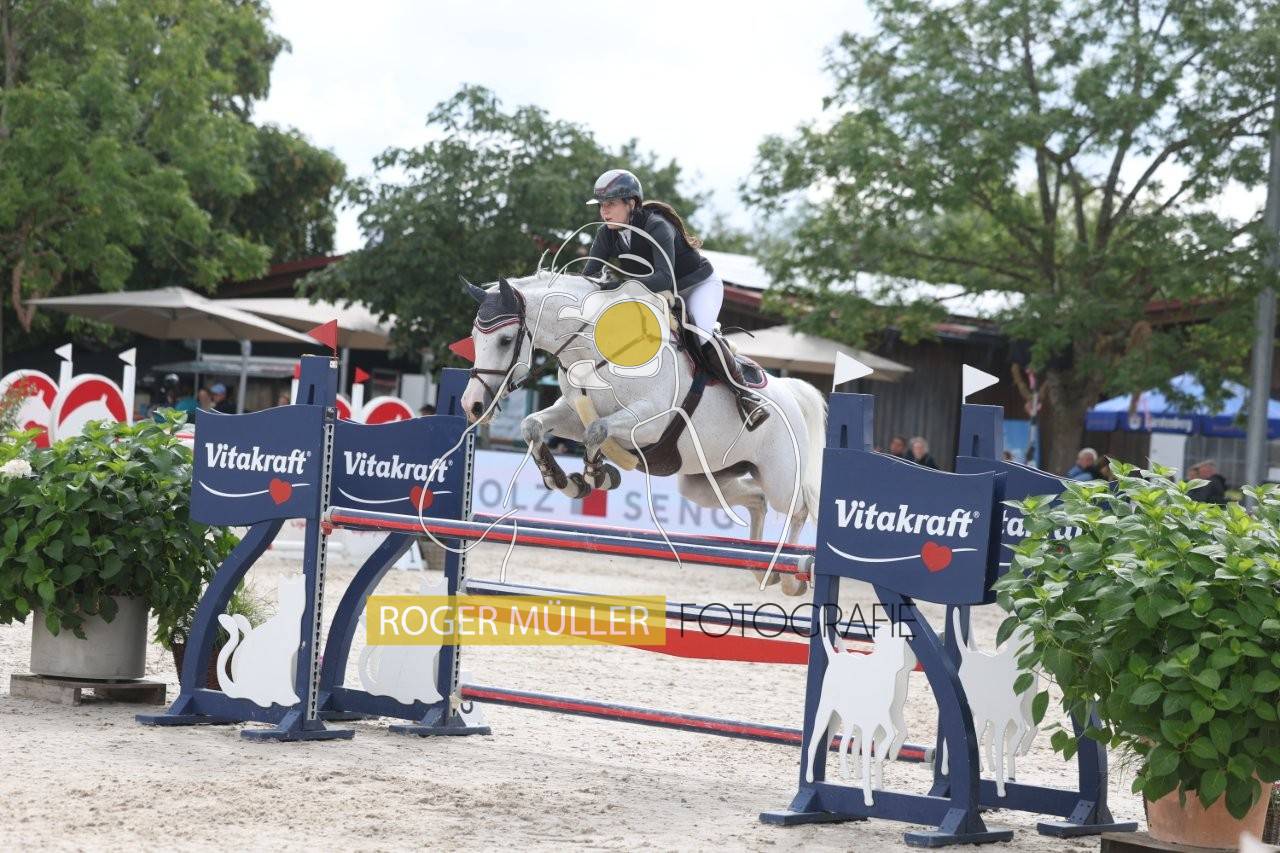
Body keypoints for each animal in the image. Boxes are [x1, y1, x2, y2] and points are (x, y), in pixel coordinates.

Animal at [458, 271, 828, 596]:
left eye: (506, 340)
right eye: (474, 338)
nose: (472, 405)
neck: (595, 350)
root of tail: (790, 393)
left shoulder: (648, 421)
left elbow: (598, 431)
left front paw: (597, 476)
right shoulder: (572, 415)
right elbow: (534, 425)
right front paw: (563, 480)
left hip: (780, 477)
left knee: (796, 509)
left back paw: (790, 579)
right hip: (704, 482)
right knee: (757, 501)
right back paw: (761, 569)